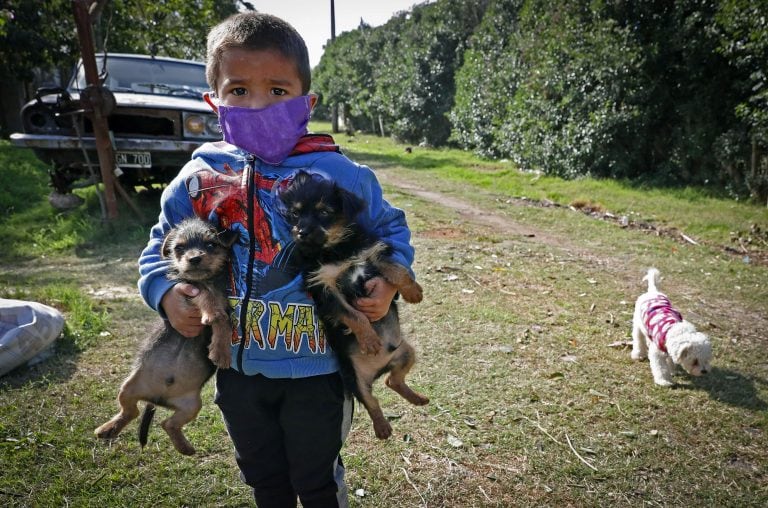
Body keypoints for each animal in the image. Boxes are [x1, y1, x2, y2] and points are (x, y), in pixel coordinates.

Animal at [94, 216, 237, 454]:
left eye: (211, 244)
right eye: (179, 248)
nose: (194, 258)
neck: (208, 279)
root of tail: (157, 399)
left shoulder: (224, 301)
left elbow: (223, 321)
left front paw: (221, 350)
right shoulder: (188, 288)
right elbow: (207, 297)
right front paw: (212, 314)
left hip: (191, 406)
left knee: (167, 423)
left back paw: (184, 446)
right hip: (127, 388)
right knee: (130, 411)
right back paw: (108, 428)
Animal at [280, 172, 428, 440]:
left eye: (324, 212)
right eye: (295, 214)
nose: (300, 232)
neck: (336, 247)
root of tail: (380, 368)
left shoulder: (371, 255)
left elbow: (397, 270)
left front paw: (413, 292)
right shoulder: (325, 287)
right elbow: (354, 315)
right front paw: (369, 340)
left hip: (406, 352)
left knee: (394, 381)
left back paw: (416, 398)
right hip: (353, 379)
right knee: (372, 400)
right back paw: (382, 428)